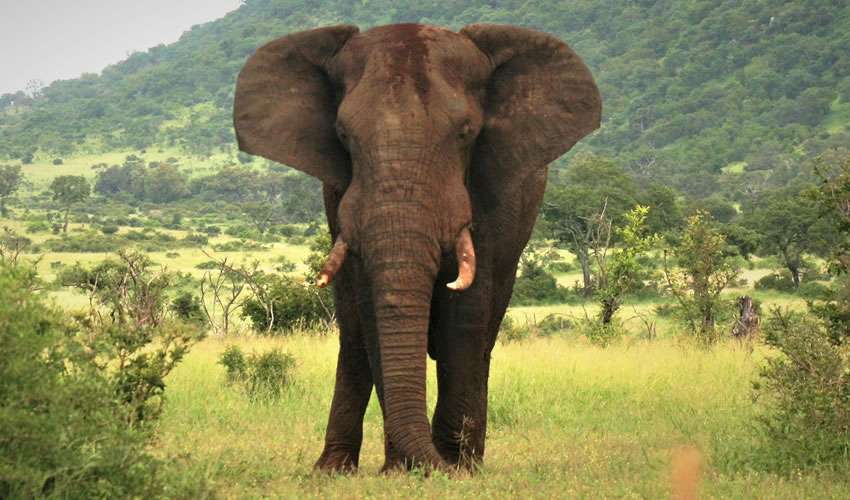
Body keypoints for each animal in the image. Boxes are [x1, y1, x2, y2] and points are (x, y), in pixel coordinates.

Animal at [233, 23, 601, 473]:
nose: (435, 463)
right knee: (353, 337)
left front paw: (453, 468)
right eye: (343, 135)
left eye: (466, 133)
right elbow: (371, 312)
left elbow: (466, 312)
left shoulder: (490, 194)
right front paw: (403, 470)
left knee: (483, 334)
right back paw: (332, 469)